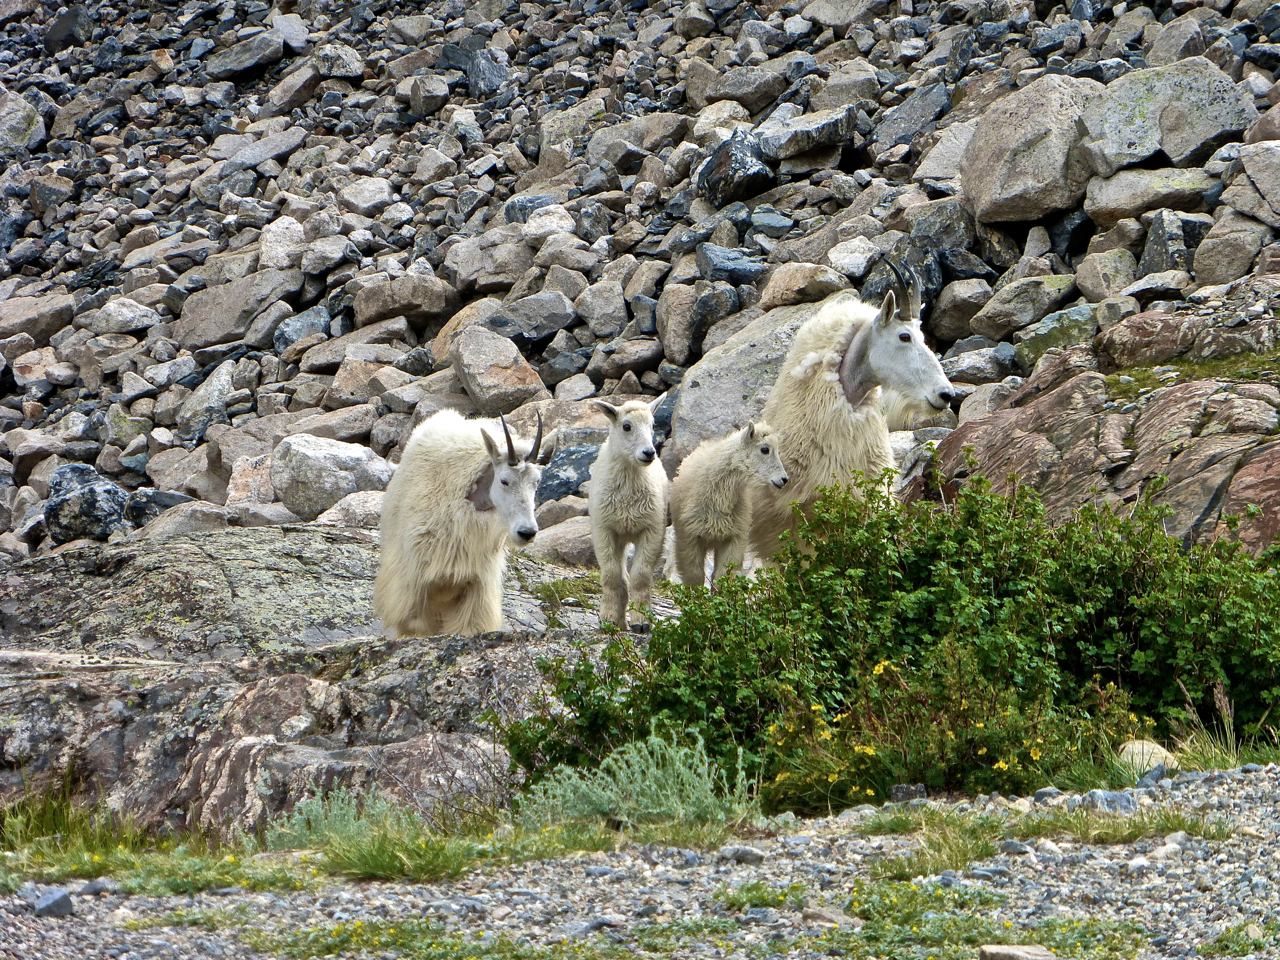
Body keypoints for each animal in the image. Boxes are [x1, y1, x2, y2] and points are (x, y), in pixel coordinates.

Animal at [371, 407, 550, 640]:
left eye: (536, 482)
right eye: (504, 480)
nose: (527, 532)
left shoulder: (476, 583)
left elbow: (469, 626)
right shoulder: (415, 579)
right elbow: (415, 625)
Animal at [588, 396, 670, 632]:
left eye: (652, 425)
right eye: (626, 426)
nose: (649, 453)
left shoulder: (652, 530)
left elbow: (640, 577)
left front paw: (642, 621)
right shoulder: (604, 529)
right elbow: (612, 576)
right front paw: (608, 617)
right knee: (621, 576)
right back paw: (618, 620)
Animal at [670, 424, 788, 591]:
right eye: (765, 449)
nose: (784, 479)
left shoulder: (733, 537)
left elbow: (722, 575)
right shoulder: (690, 537)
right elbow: (694, 576)